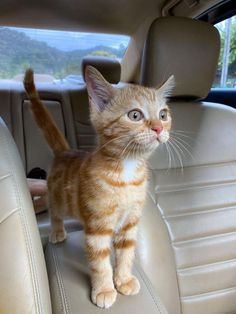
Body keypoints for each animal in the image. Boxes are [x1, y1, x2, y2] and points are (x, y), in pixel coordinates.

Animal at [23, 67, 173, 310]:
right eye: (135, 115)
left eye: (163, 115)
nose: (159, 128)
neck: (127, 175)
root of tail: (65, 152)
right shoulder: (98, 227)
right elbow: (100, 262)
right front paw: (104, 289)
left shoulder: (130, 223)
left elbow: (126, 254)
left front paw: (123, 280)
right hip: (57, 197)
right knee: (55, 212)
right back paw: (57, 231)